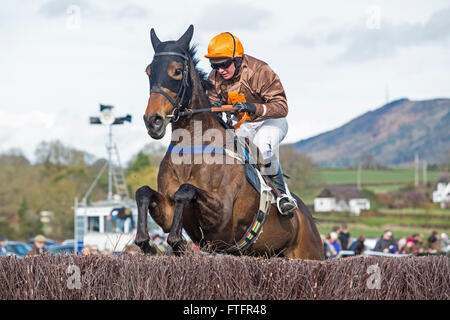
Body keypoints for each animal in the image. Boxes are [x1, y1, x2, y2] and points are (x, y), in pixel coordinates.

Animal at [134, 25, 324, 260]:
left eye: (177, 71)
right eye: (149, 71)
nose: (153, 121)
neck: (192, 148)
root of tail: (308, 217)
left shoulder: (222, 214)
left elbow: (185, 191)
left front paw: (178, 242)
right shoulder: (167, 212)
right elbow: (143, 192)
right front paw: (146, 242)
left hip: (309, 253)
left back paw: (286, 202)